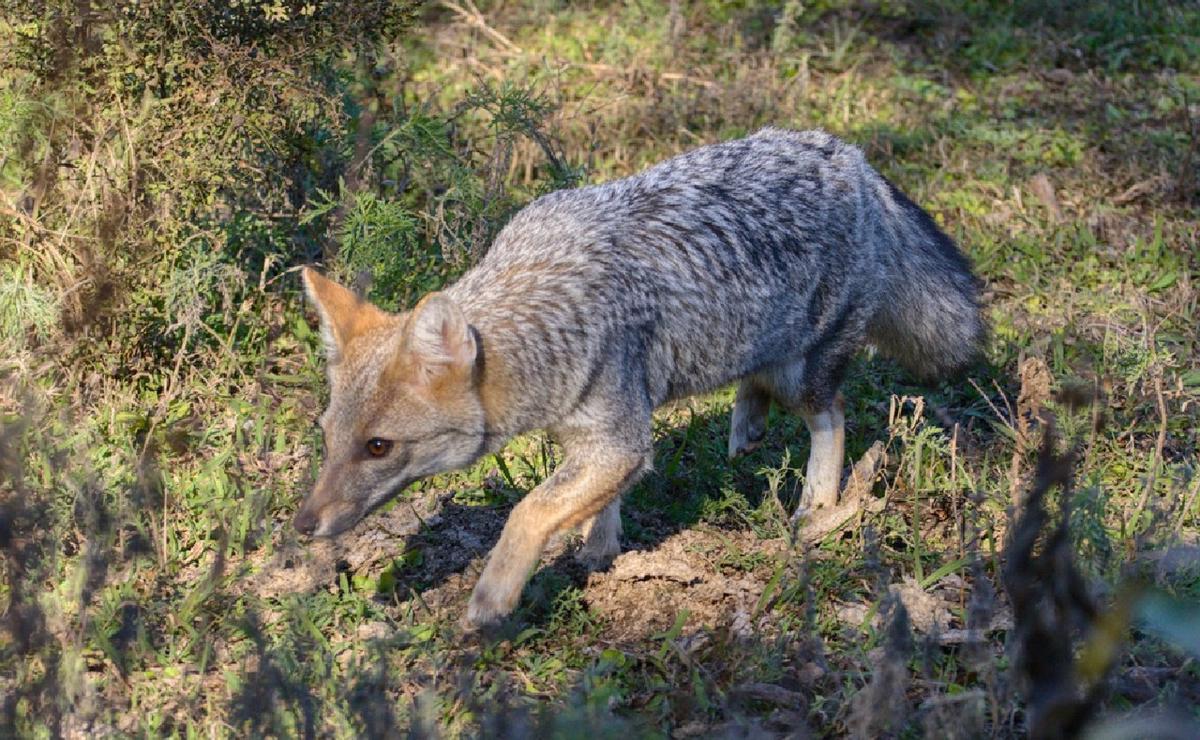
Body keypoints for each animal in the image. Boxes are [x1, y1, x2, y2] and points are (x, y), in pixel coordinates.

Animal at [292, 127, 984, 623]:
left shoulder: (619, 438)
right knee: (757, 382)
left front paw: (492, 598)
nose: (303, 526)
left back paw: (817, 508)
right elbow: (591, 503)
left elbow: (528, 510)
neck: (549, 304)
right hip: (759, 345)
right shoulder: (598, 438)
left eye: (378, 447)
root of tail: (853, 159)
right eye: (326, 438)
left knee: (831, 417)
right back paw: (747, 426)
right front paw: (600, 548)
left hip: (804, 376)